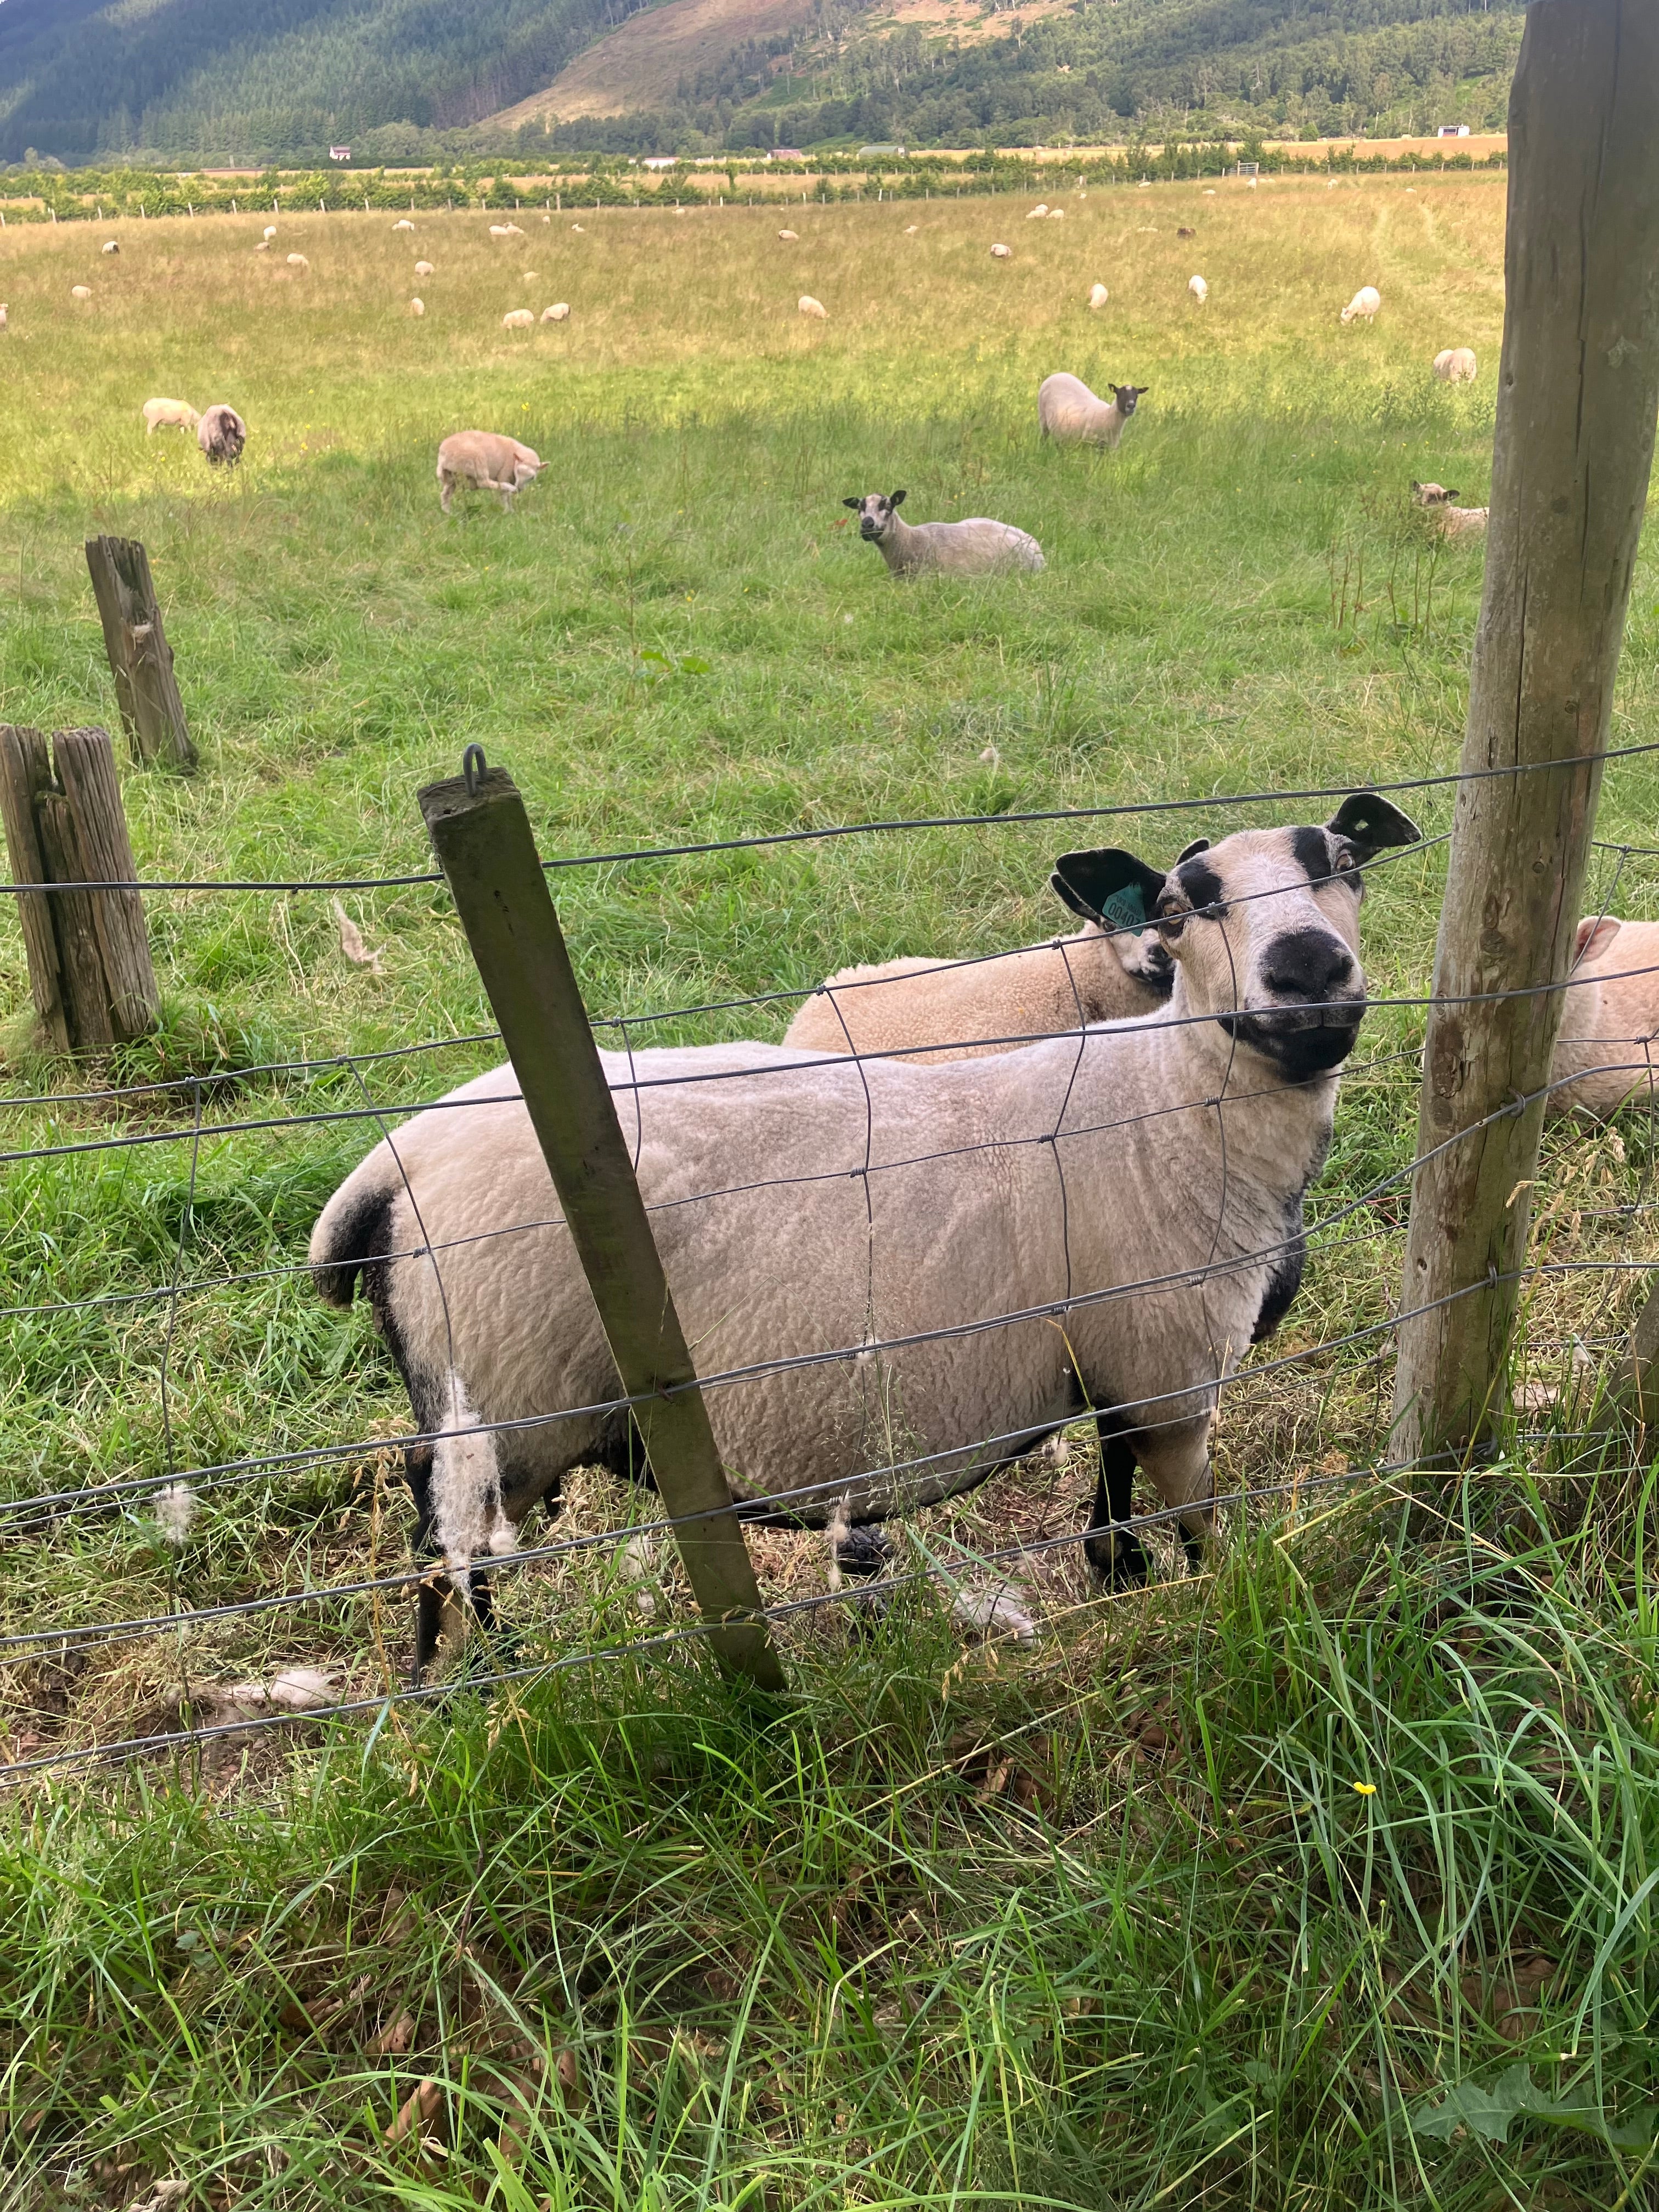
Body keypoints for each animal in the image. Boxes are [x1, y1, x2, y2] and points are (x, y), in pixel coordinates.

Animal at [435, 430, 543, 514]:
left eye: (532, 477)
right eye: (518, 470)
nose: (520, 488)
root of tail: (444, 454)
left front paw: (511, 510)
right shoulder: (504, 474)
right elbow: (505, 496)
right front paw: (507, 511)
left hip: (450, 475)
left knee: (445, 494)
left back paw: (447, 512)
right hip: (478, 461)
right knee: (483, 483)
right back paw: (509, 487)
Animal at [1037, 374, 1148, 449]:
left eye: (1137, 395)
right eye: (1120, 394)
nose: (1131, 406)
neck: (1108, 416)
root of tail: (1056, 374)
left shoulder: (1109, 447)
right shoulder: (1089, 442)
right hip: (1043, 419)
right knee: (1043, 438)